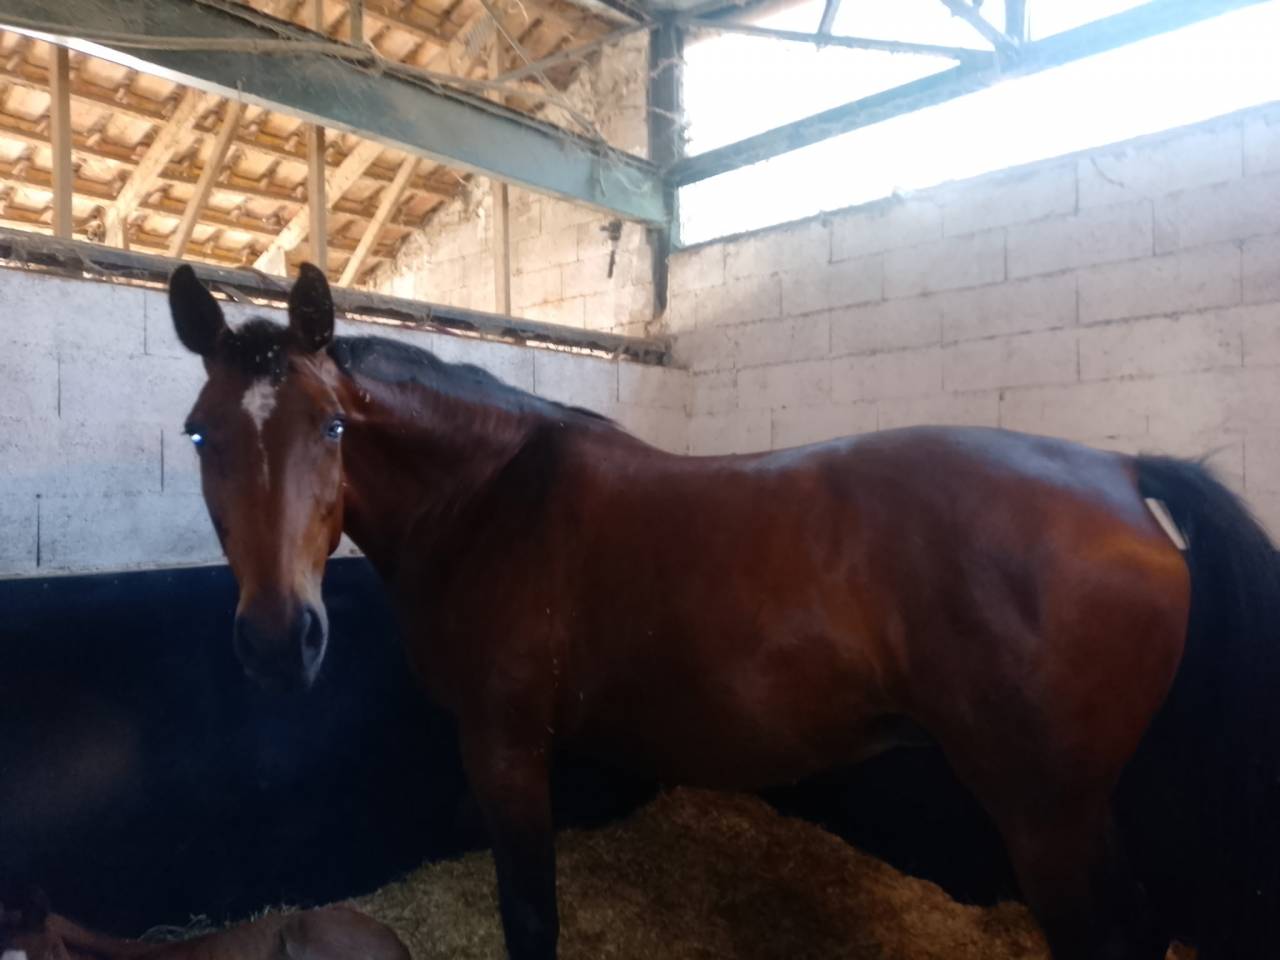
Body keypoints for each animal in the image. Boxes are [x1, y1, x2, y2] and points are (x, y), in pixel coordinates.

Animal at [166, 261, 1280, 960]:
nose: (279, 641)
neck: (489, 498)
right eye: (201, 434)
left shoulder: (506, 748)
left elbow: (531, 919)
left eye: (333, 426)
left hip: (1046, 812)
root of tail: (1121, 473)